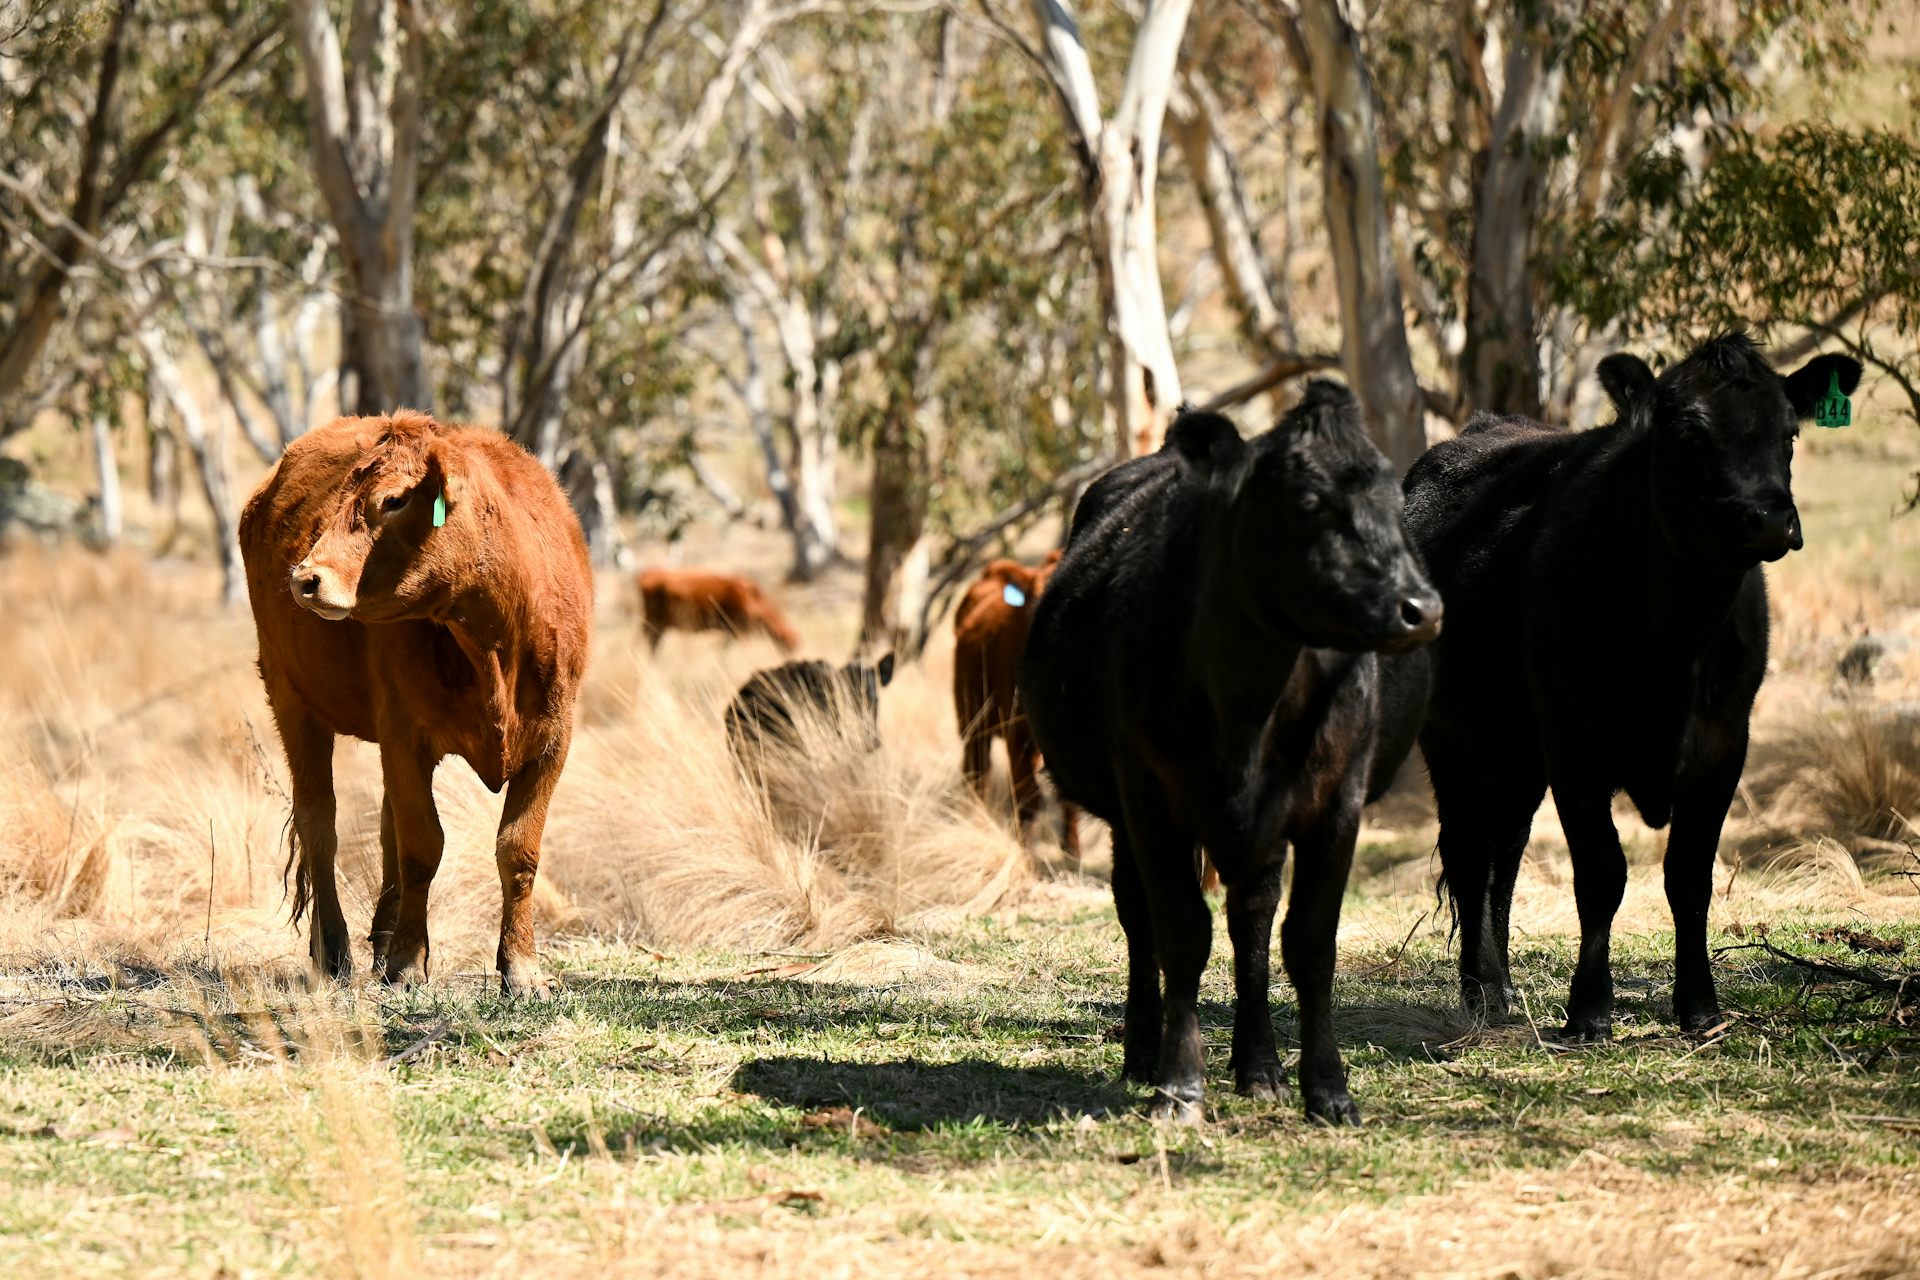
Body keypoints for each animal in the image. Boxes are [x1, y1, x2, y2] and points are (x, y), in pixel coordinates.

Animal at [239, 410, 593, 997]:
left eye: (395, 499)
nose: (305, 578)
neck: (495, 641)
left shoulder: (554, 738)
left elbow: (518, 849)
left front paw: (521, 968)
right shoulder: (406, 734)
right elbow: (422, 846)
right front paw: (409, 963)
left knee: (384, 828)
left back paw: (380, 943)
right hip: (292, 698)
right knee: (320, 823)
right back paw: (333, 951)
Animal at [638, 567, 801, 654]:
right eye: (790, 646)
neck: (754, 600)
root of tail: (649, 573)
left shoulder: (730, 634)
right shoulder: (737, 632)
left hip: (659, 627)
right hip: (654, 625)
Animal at [954, 553, 1080, 860]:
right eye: (1034, 602)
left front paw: (1072, 851)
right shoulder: (1017, 731)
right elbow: (1027, 795)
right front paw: (1025, 852)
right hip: (972, 720)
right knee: (977, 771)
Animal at [1020, 382, 1442, 1125]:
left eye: (1394, 501)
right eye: (1309, 502)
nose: (1420, 607)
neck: (1249, 699)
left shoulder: (1336, 804)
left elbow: (1309, 941)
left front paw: (1327, 1089)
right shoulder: (1149, 801)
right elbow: (1181, 933)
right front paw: (1179, 1085)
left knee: (1252, 918)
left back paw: (1260, 1067)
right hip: (1131, 816)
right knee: (1139, 918)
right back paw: (1143, 1055)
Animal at [1387, 334, 1861, 1040]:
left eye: (1791, 432)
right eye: (1690, 433)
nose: (1770, 520)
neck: (1676, 645)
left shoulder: (1725, 747)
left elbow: (1689, 876)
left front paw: (1700, 1009)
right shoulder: (1575, 750)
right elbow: (1601, 874)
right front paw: (1588, 1011)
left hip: (1519, 752)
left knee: (1505, 854)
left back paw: (1504, 987)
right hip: (1453, 737)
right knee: (1471, 854)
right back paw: (1484, 991)